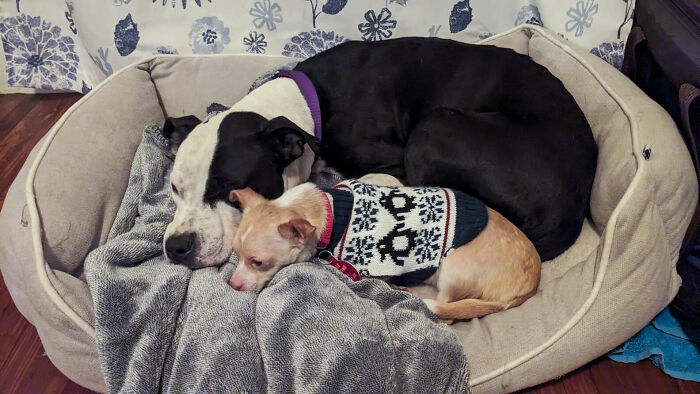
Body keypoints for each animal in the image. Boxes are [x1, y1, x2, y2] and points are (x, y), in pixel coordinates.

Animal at [163, 37, 596, 268]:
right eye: (173, 188)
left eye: (230, 189)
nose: (176, 247)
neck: (304, 105)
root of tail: (572, 210)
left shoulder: (391, 163)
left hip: (434, 128)